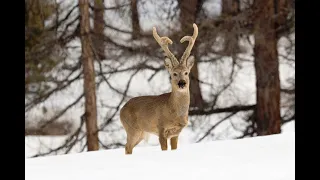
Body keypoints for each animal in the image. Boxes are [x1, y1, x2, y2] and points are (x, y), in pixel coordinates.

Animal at [119, 23, 196, 154]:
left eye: (186, 73)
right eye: (174, 74)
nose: (182, 83)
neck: (173, 111)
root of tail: (121, 110)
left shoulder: (176, 133)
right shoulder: (161, 129)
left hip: (141, 133)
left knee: (127, 146)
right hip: (132, 129)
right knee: (127, 147)